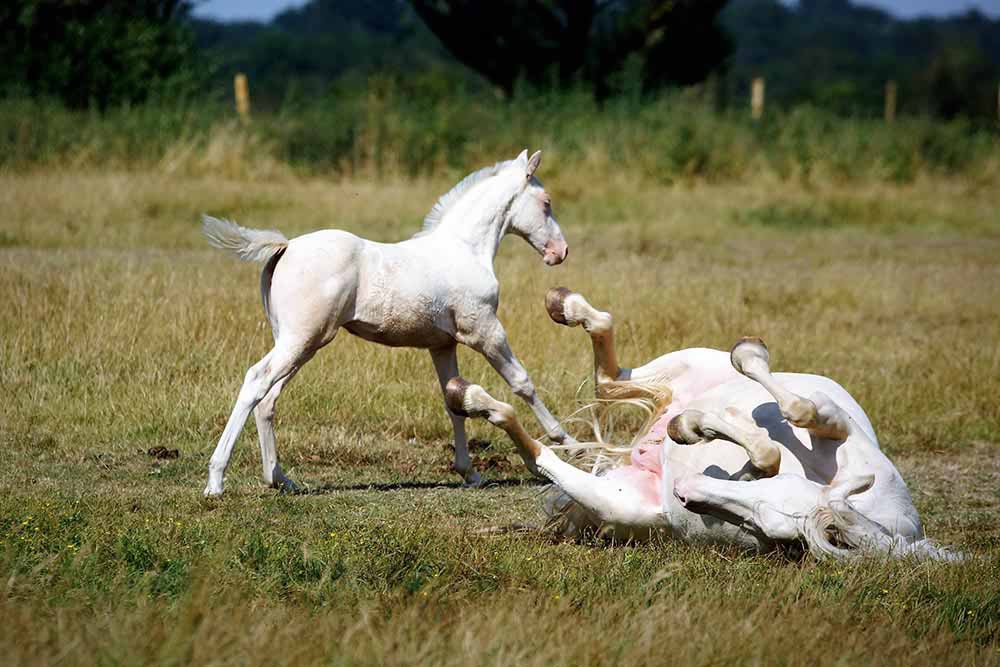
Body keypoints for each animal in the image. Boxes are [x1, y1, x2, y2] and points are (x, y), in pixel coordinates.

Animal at [199, 150, 576, 496]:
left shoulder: (442, 345)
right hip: (299, 341)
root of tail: (286, 246)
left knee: (268, 400)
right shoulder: (485, 332)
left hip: (301, 344)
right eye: (546, 202)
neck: (466, 250)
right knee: (255, 381)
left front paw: (468, 472)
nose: (561, 252)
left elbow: (454, 403)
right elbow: (522, 382)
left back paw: (280, 479)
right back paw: (216, 481)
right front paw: (566, 441)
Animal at [448, 290, 960, 560]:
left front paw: (696, 430)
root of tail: (641, 451)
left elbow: (765, 454)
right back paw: (568, 307)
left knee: (545, 451)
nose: (689, 493)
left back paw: (470, 396)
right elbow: (795, 416)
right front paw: (706, 422)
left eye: (771, 530)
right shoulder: (838, 427)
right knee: (610, 376)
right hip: (691, 362)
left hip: (621, 504)